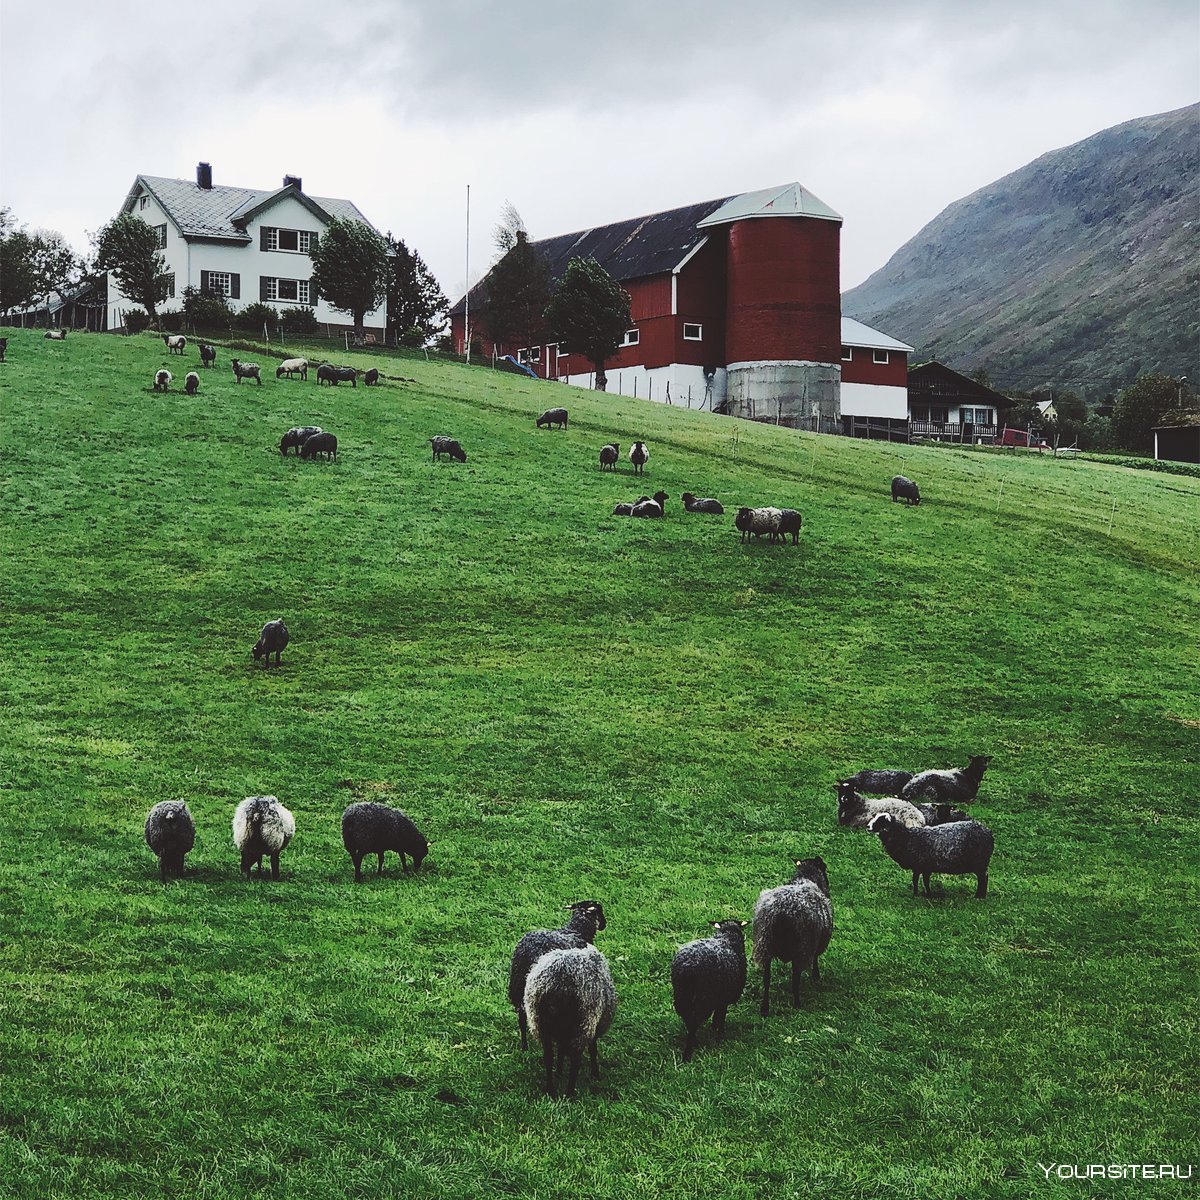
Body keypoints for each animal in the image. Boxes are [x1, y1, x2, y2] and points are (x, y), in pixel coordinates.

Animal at [506, 897, 604, 1046]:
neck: (576, 930)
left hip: (518, 988)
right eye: (599, 910)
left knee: (521, 1018)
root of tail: (525, 955)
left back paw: (524, 1047)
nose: (604, 924)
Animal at [525, 940, 619, 1099]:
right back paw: (569, 1092)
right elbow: (593, 1050)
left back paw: (551, 1089)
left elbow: (561, 1051)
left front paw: (559, 1071)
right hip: (584, 1023)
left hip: (539, 1023)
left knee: (548, 1057)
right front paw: (595, 1074)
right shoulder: (593, 1027)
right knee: (576, 1060)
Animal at [672, 916, 744, 1060]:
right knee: (695, 1019)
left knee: (686, 1015)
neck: (727, 937)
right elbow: (721, 1015)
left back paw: (694, 1041)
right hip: (705, 996)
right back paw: (688, 1054)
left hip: (682, 993)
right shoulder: (724, 997)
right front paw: (720, 1033)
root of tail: (688, 967)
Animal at [748, 859, 835, 1017]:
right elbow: (815, 959)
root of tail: (780, 910)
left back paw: (764, 1008)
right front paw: (816, 975)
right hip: (800, 949)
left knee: (766, 979)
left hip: (764, 945)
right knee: (795, 979)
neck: (805, 878)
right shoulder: (816, 942)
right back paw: (797, 1004)